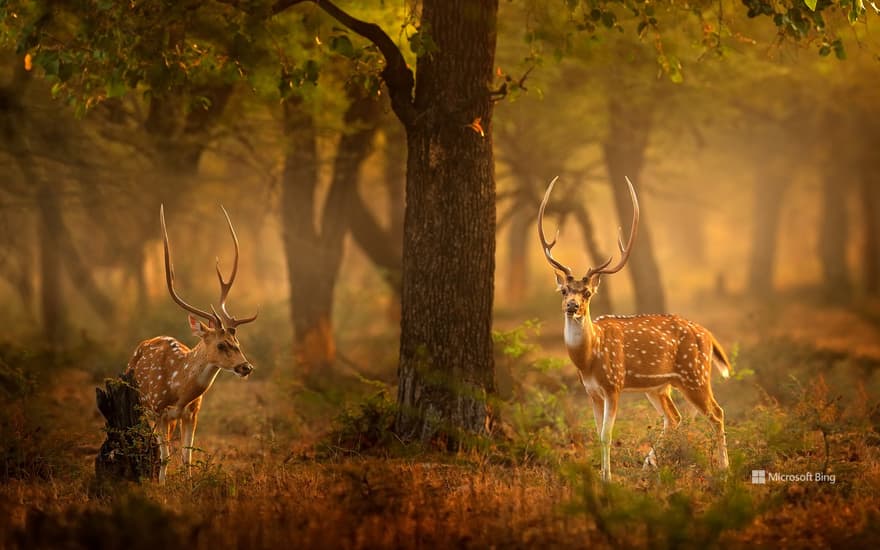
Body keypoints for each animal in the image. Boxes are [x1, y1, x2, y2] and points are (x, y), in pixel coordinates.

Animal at [127, 205, 258, 486]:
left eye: (237, 341)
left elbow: (187, 457)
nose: (246, 367)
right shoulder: (157, 410)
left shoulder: (193, 412)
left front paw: (189, 486)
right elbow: (164, 456)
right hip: (141, 405)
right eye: (221, 344)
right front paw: (162, 487)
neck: (179, 390)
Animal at [540, 178, 732, 484]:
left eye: (587, 293)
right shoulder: (591, 391)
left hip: (695, 374)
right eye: (564, 290)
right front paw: (602, 474)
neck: (589, 359)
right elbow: (597, 433)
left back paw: (724, 468)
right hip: (659, 386)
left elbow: (606, 434)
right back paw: (649, 465)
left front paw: (607, 479)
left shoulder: (614, 384)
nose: (572, 306)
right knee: (675, 417)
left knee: (716, 412)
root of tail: (708, 335)